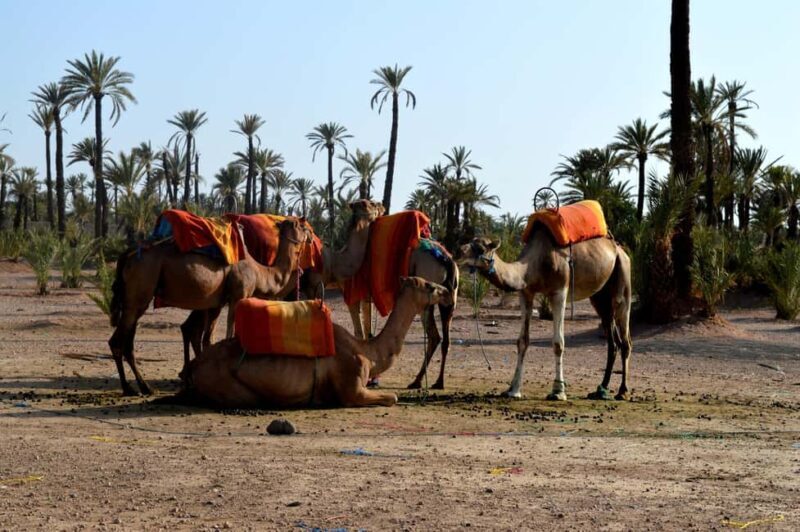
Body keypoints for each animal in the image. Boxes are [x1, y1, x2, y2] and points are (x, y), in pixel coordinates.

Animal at [108, 218, 311, 396]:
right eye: (302, 226)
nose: (310, 234)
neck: (260, 272)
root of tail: (127, 255)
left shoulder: (216, 303)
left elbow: (208, 340)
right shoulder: (238, 295)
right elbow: (229, 332)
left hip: (135, 301)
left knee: (128, 341)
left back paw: (143, 387)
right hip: (140, 289)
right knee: (118, 342)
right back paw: (131, 388)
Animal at [184, 277, 454, 408]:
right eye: (429, 286)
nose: (448, 291)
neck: (367, 352)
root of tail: (194, 367)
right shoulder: (353, 389)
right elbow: (392, 397)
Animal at [457, 230, 632, 401]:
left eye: (480, 248)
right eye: (469, 241)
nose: (458, 254)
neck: (533, 264)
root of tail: (620, 250)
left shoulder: (559, 291)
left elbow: (558, 343)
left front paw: (558, 391)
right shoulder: (526, 293)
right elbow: (522, 341)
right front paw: (513, 390)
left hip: (623, 278)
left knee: (625, 340)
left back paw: (622, 391)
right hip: (600, 297)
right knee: (613, 342)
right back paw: (600, 390)